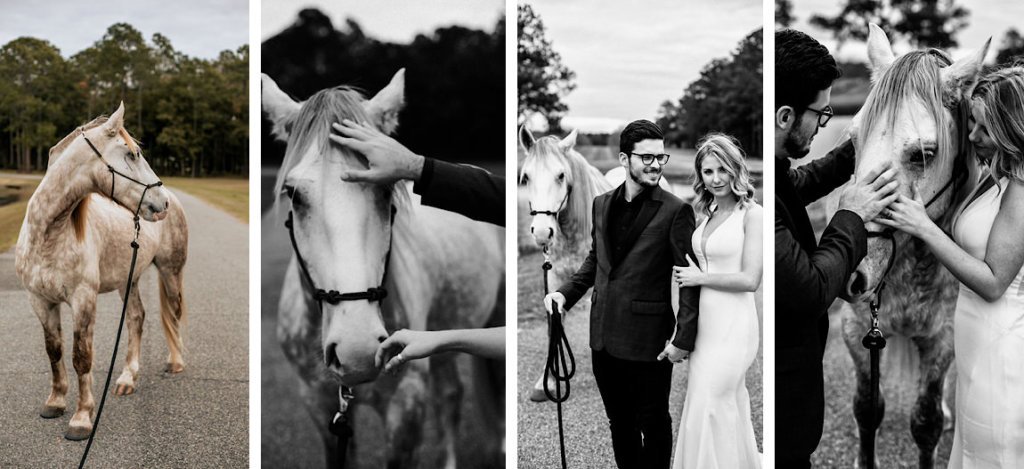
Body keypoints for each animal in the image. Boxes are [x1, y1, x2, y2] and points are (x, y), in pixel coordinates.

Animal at [14, 101, 189, 440]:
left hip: (170, 271)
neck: (48, 235)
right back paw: (127, 378)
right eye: (132, 154)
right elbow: (54, 351)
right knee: (136, 318)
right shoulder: (40, 301)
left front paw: (82, 418)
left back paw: (175, 362)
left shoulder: (83, 299)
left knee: (173, 313)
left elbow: (81, 357)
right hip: (128, 280)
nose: (161, 204)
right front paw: (55, 402)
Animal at [262, 70, 505, 469]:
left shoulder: (406, 405)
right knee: (451, 393)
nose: (357, 350)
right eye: (293, 194)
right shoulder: (320, 405)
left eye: (387, 189)